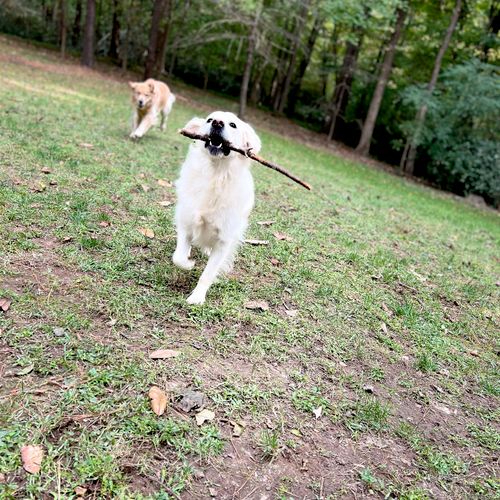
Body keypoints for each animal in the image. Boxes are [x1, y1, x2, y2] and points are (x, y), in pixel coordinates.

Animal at [173, 110, 262, 304]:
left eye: (233, 125)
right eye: (209, 120)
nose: (217, 123)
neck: (216, 173)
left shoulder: (224, 241)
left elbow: (208, 274)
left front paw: (197, 297)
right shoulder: (186, 222)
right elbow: (178, 257)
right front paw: (188, 263)